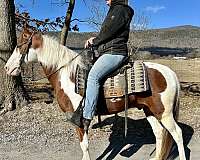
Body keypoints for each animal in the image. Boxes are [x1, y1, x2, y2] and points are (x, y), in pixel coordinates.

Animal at [4, 29, 186, 160]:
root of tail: (169, 72)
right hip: (150, 111)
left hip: (164, 113)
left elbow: (84, 145)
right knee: (160, 133)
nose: (7, 68)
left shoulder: (79, 118)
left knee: (177, 134)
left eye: (19, 45)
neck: (68, 75)